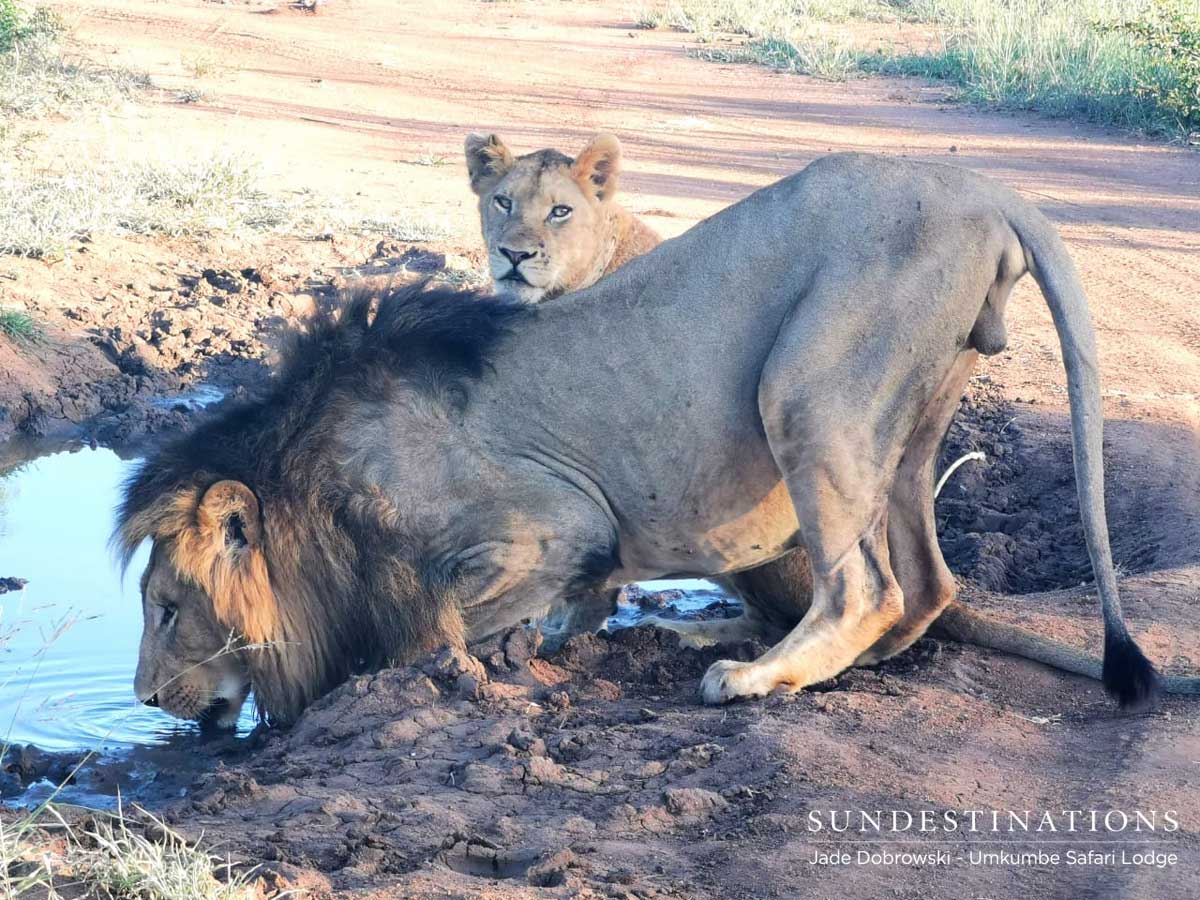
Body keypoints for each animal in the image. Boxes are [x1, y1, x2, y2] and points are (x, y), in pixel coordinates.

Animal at [117, 153, 1199, 727]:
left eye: (168, 608)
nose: (146, 698)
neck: (313, 477)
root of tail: (984, 188)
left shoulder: (555, 522)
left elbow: (431, 623)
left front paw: (456, 667)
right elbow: (549, 609)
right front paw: (547, 643)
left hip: (804, 389)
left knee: (867, 586)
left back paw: (757, 675)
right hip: (913, 418)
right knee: (927, 586)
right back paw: (824, 660)